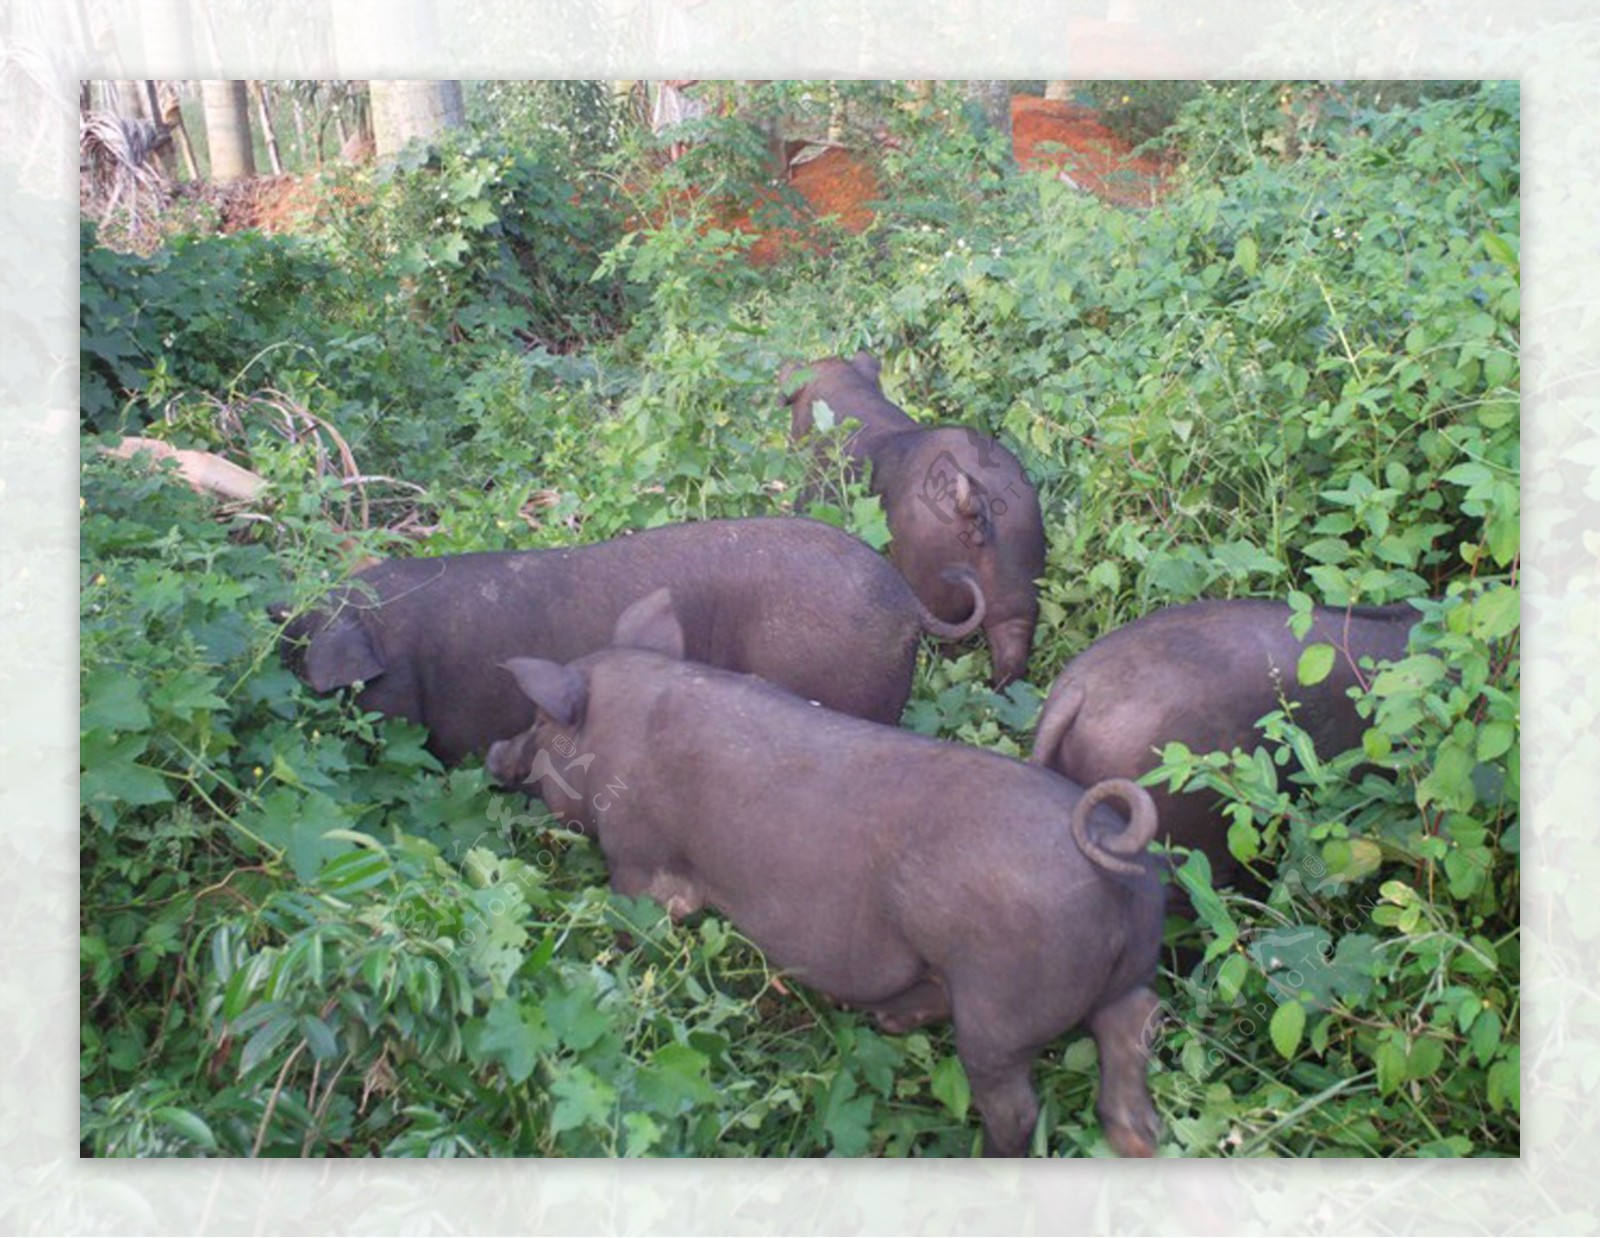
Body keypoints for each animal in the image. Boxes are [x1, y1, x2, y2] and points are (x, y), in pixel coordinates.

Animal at [486, 591, 1164, 1164]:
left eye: (541, 724)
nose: (495, 753)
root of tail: (1104, 850)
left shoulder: (638, 859)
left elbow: (639, 920)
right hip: (1116, 973)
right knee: (1133, 1021)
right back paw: (1135, 1141)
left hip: (998, 1007)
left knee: (1018, 1106)